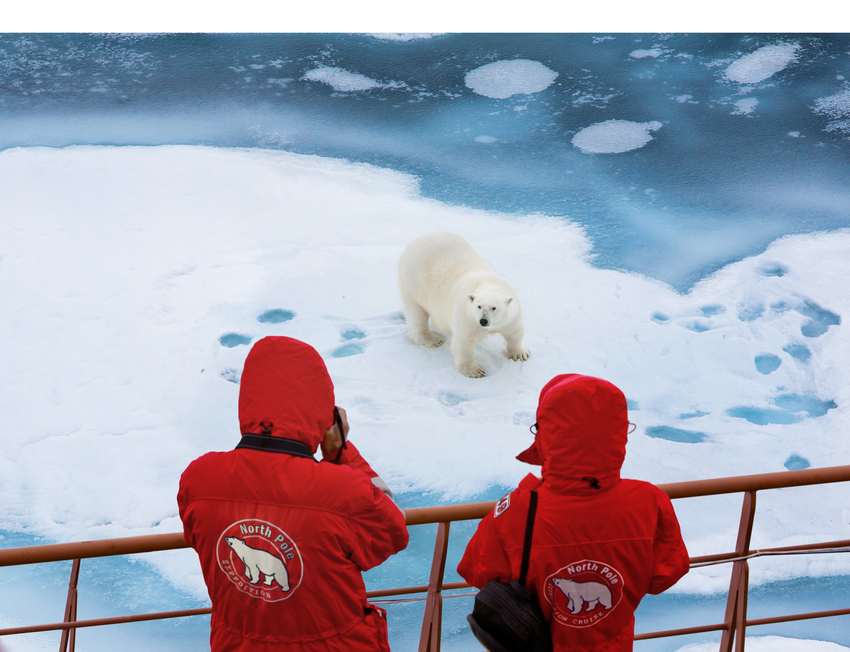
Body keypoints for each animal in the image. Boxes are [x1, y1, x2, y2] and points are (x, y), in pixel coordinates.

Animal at [396, 233, 528, 376]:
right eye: (479, 306)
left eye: (494, 308)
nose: (483, 321)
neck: (488, 282)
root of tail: (415, 242)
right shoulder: (466, 316)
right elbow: (464, 342)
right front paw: (475, 371)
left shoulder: (512, 315)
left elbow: (514, 332)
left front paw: (520, 354)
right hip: (414, 283)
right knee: (417, 313)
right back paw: (432, 340)